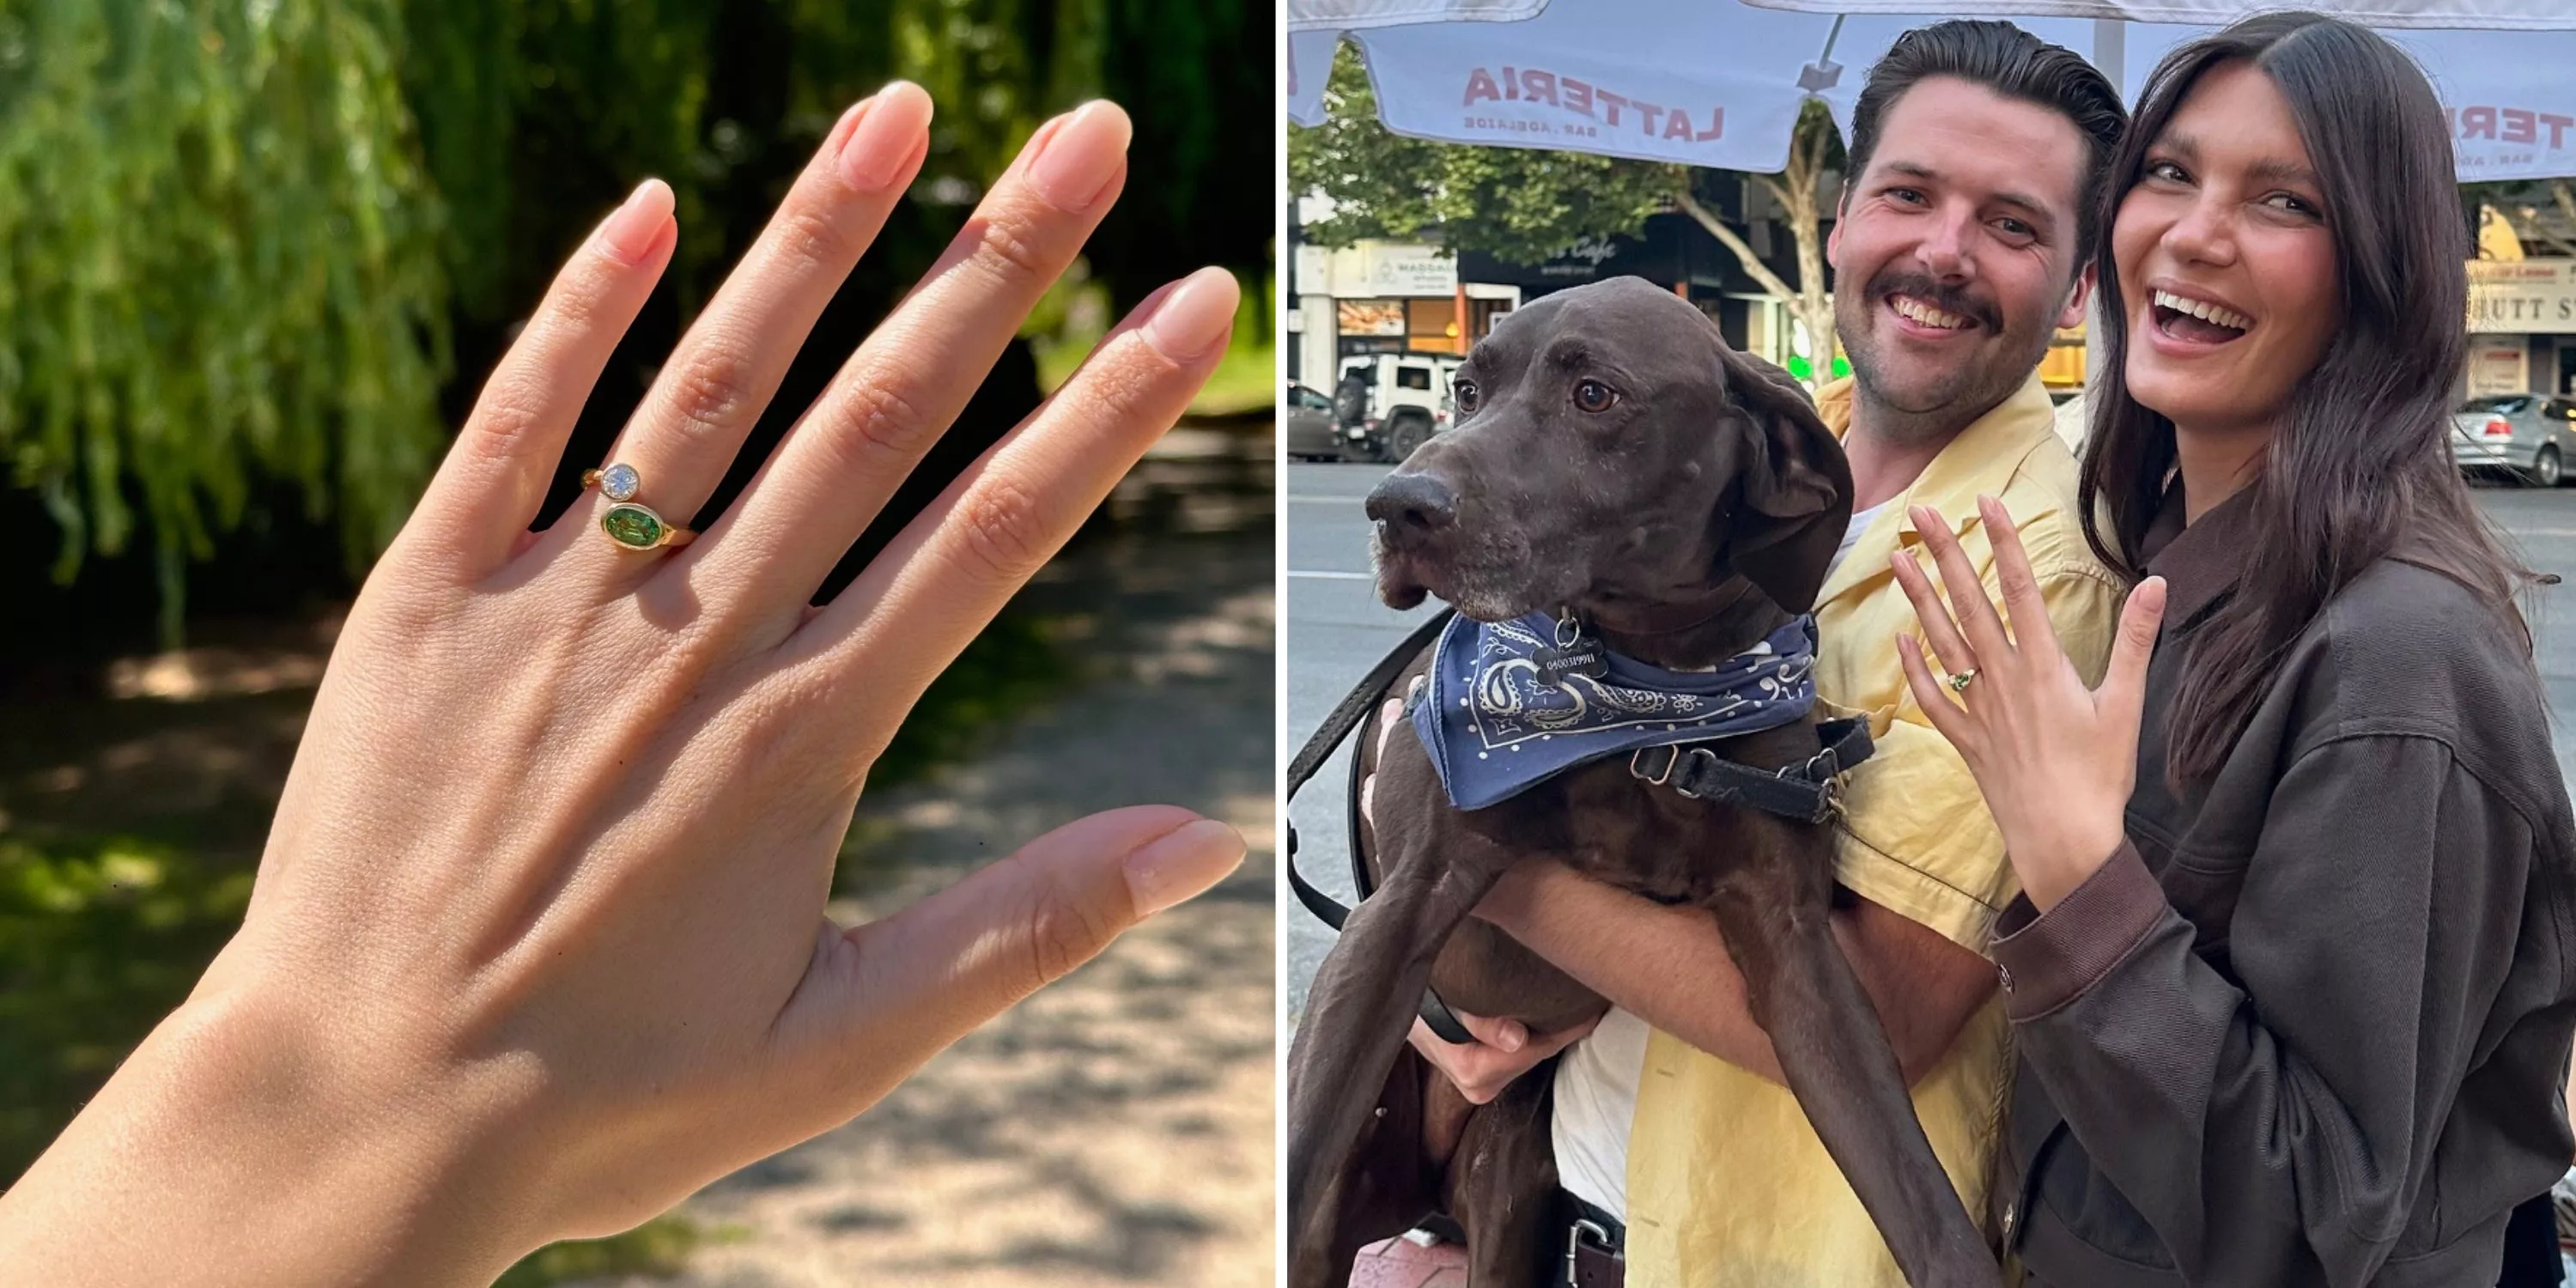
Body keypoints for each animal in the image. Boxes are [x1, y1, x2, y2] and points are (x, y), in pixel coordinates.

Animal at [1283, 276, 1989, 1283]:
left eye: (1595, 395)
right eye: (1465, 390)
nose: (1395, 505)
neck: (1635, 695)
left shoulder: (1794, 945)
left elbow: (1906, 1177)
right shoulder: (1404, 902)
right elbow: (1299, 1142)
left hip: (1508, 1203)